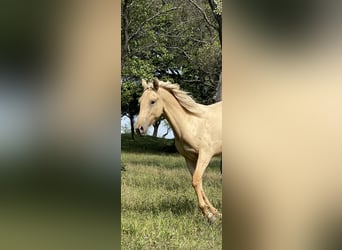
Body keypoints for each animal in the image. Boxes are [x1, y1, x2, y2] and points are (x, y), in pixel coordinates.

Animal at [135, 78, 220, 223]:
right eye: (140, 102)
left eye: (153, 101)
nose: (139, 129)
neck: (190, 123)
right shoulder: (190, 158)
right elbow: (198, 183)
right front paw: (214, 213)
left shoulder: (205, 155)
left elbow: (196, 181)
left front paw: (209, 214)